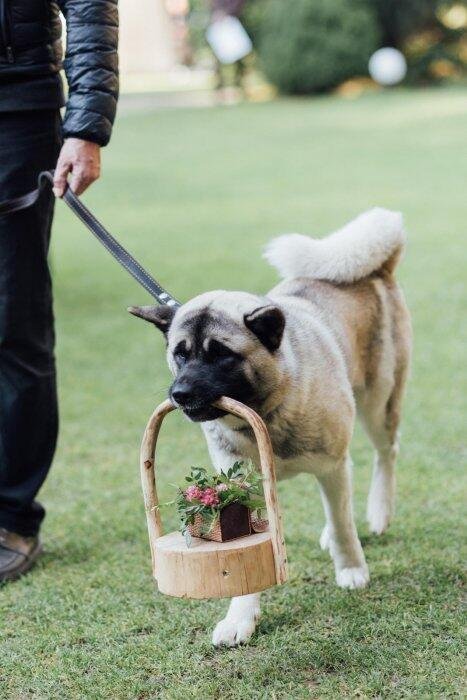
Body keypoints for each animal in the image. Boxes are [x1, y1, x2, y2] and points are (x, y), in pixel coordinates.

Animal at [130, 206, 412, 644]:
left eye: (221, 355)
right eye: (180, 354)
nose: (179, 394)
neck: (269, 407)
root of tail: (377, 268)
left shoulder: (330, 465)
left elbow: (343, 524)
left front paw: (351, 569)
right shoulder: (239, 484)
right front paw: (240, 617)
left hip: (378, 404)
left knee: (385, 455)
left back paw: (378, 512)